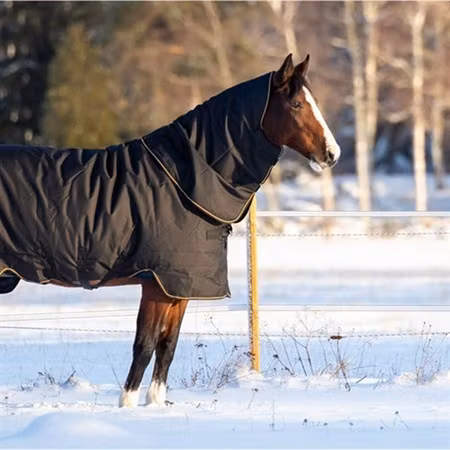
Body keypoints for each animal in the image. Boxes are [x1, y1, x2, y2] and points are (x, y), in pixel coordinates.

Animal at [0, 54, 340, 407]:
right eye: (297, 104)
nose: (332, 154)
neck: (182, 181)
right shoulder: (157, 284)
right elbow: (145, 344)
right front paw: (128, 406)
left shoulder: (181, 288)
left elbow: (168, 344)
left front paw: (155, 405)